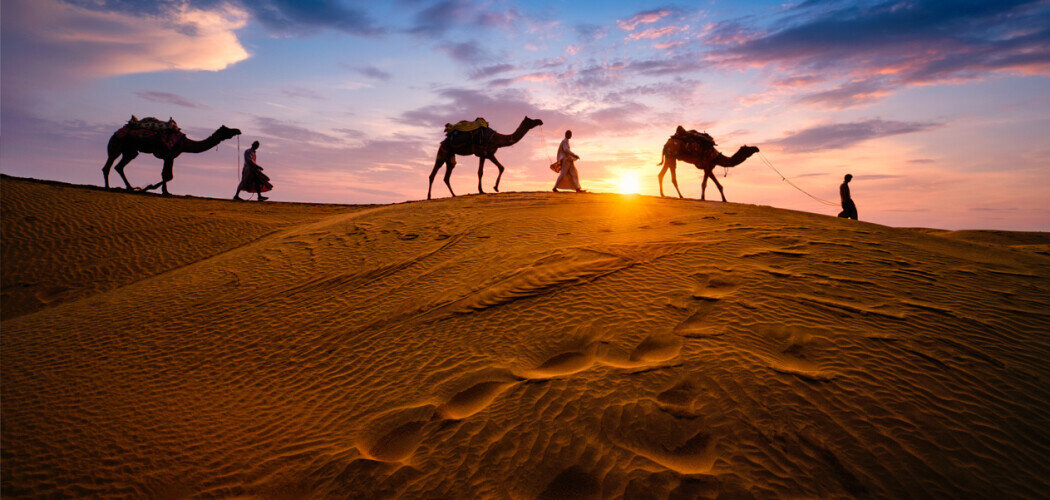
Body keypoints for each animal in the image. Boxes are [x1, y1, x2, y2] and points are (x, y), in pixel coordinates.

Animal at [102, 117, 241, 195]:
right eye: (227, 130)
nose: (238, 130)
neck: (185, 144)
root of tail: (116, 132)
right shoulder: (169, 155)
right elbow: (167, 175)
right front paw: (153, 188)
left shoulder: (170, 157)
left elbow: (168, 175)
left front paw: (158, 189)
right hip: (116, 145)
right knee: (108, 165)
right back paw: (108, 187)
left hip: (130, 151)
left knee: (119, 166)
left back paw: (130, 187)